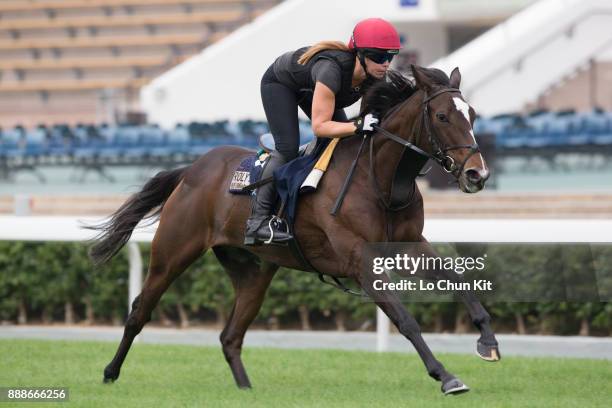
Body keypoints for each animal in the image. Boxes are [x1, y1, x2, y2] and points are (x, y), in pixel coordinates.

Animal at [92, 64, 502, 396]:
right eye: (443, 116)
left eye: (473, 114)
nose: (477, 174)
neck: (380, 179)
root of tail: (192, 169)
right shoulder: (359, 260)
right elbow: (405, 320)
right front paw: (446, 376)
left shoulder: (410, 245)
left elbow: (458, 282)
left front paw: (488, 340)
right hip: (173, 253)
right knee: (139, 312)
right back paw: (110, 373)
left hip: (254, 271)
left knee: (230, 336)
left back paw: (247, 390)